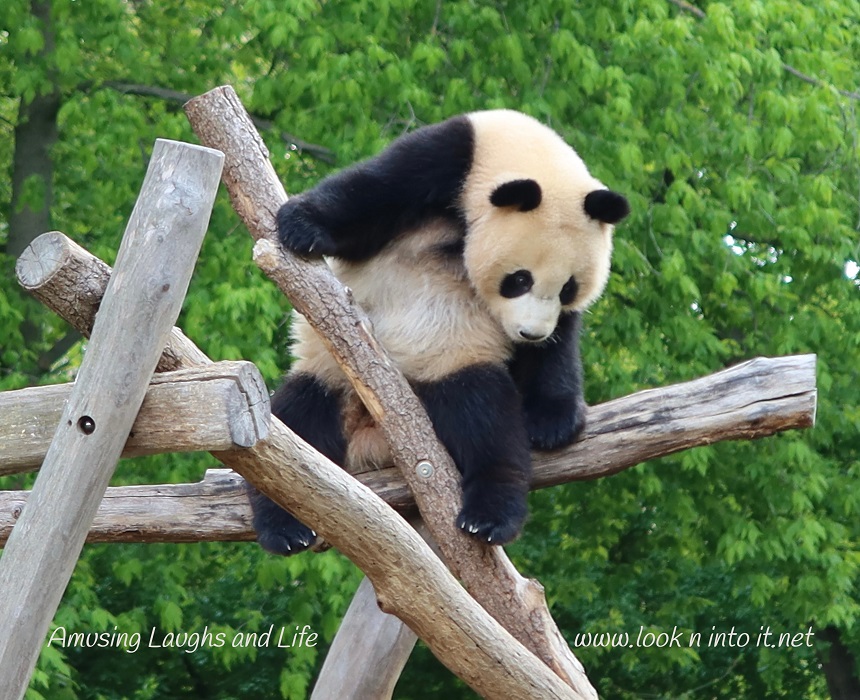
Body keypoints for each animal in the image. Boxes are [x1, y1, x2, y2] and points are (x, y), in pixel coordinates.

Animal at [250, 109, 629, 555]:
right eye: (519, 279)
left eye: (568, 287)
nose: (530, 333)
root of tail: (373, 442)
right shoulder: (447, 157)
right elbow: (370, 196)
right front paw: (301, 224)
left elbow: (557, 349)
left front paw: (552, 422)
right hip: (331, 372)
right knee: (297, 421)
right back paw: (285, 527)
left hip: (451, 363)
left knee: (484, 417)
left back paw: (488, 516)